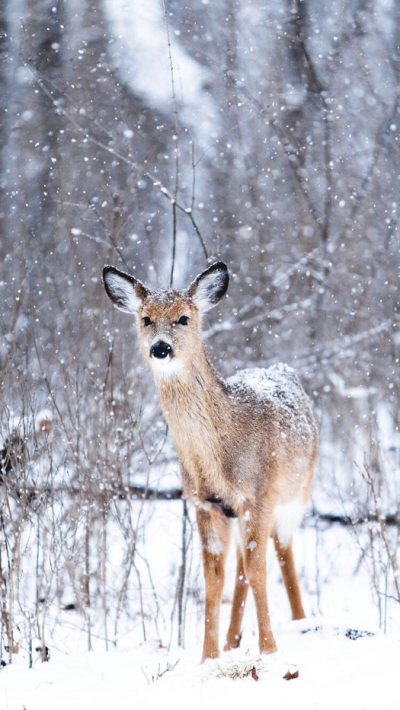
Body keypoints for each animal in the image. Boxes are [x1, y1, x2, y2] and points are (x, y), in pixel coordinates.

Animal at [102, 261, 318, 662]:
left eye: (184, 318)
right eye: (146, 319)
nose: (160, 347)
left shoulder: (260, 494)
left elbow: (259, 570)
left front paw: (269, 650)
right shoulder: (206, 504)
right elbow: (214, 579)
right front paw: (209, 656)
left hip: (297, 493)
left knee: (282, 553)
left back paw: (301, 622)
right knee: (241, 568)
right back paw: (234, 640)